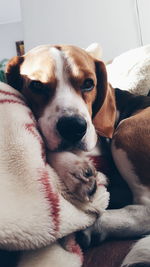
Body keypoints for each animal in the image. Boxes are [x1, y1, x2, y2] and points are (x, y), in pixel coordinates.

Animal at [5, 45, 150, 266]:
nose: (73, 127)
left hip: (127, 130)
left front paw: (73, 169)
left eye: (89, 84)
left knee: (145, 210)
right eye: (36, 85)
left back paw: (96, 226)